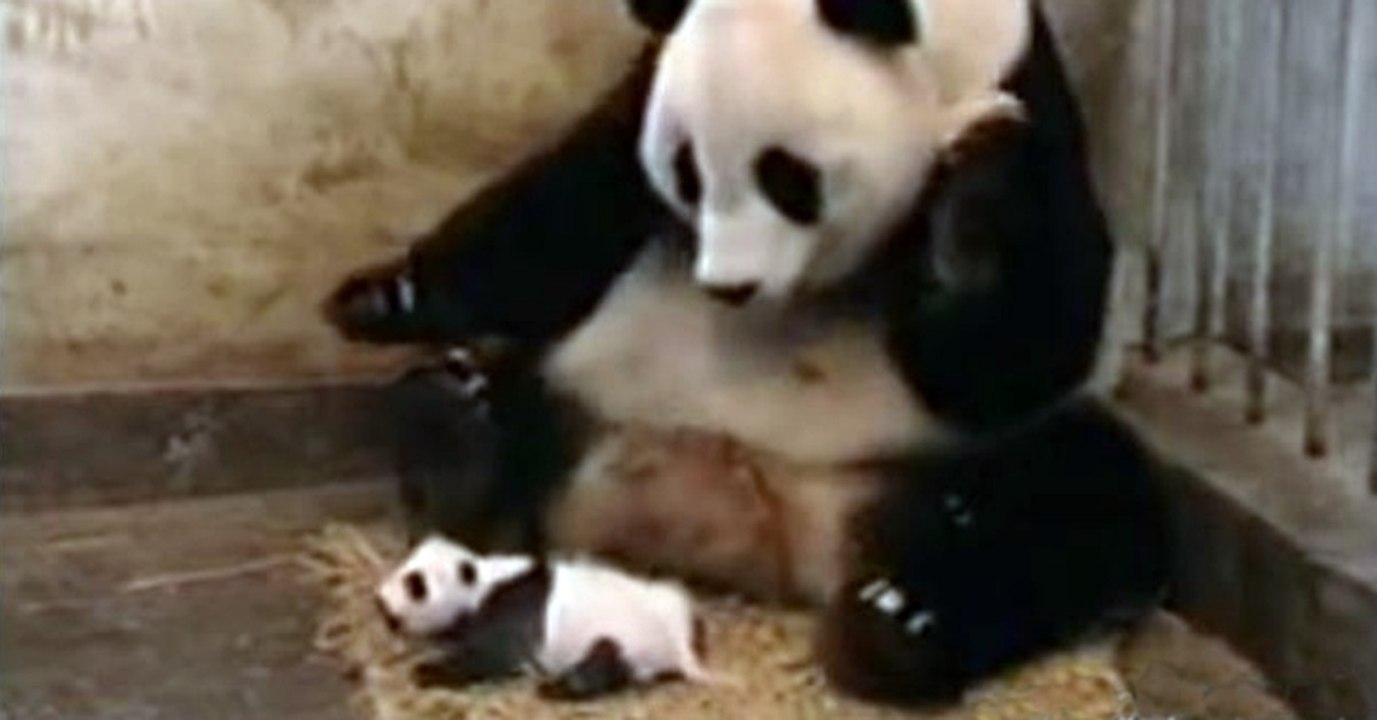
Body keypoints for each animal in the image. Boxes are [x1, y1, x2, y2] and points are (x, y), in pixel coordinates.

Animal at [325, 0, 1168, 706]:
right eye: (687, 172)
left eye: (786, 177)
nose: (729, 286)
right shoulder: (650, 82)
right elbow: (565, 210)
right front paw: (386, 297)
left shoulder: (1027, 98)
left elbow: (1022, 346)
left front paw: (970, 201)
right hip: (581, 395)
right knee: (483, 402)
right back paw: (460, 434)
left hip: (912, 472)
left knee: (1078, 497)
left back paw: (896, 623)